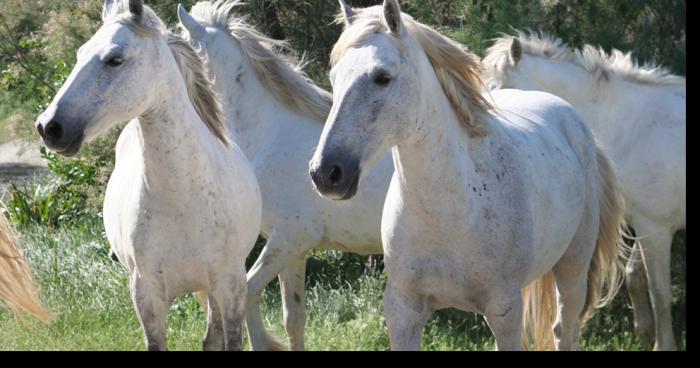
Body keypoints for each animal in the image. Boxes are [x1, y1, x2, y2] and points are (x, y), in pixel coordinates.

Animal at [34, 0, 262, 350]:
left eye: (114, 59)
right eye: (80, 53)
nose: (49, 127)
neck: (184, 200)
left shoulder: (231, 286)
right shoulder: (148, 297)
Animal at [312, 0, 628, 350]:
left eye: (382, 77)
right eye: (334, 77)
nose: (326, 173)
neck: (452, 208)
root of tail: (575, 121)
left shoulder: (504, 311)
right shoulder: (403, 311)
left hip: (573, 268)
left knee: (565, 330)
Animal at [484, 32, 688, 350]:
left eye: (494, 87)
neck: (635, 126)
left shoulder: (657, 229)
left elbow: (661, 293)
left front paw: (663, 344)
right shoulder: (644, 226)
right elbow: (634, 276)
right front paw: (644, 332)